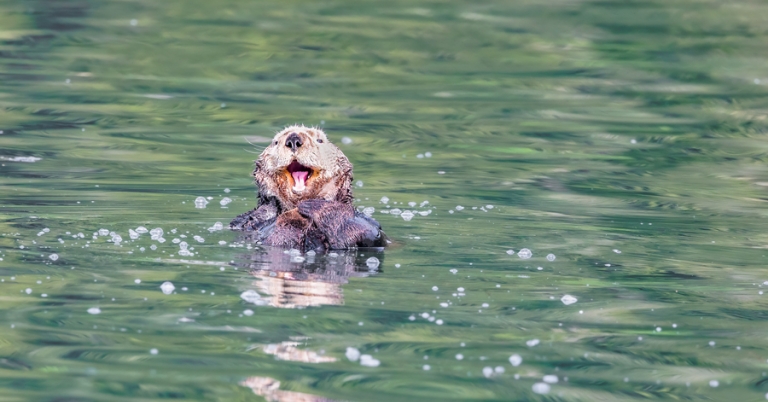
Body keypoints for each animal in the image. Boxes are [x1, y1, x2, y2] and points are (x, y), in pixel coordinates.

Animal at [230, 125, 388, 250]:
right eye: (275, 142)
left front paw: (317, 206)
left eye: (320, 140)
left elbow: (370, 233)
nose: (293, 139)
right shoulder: (243, 222)